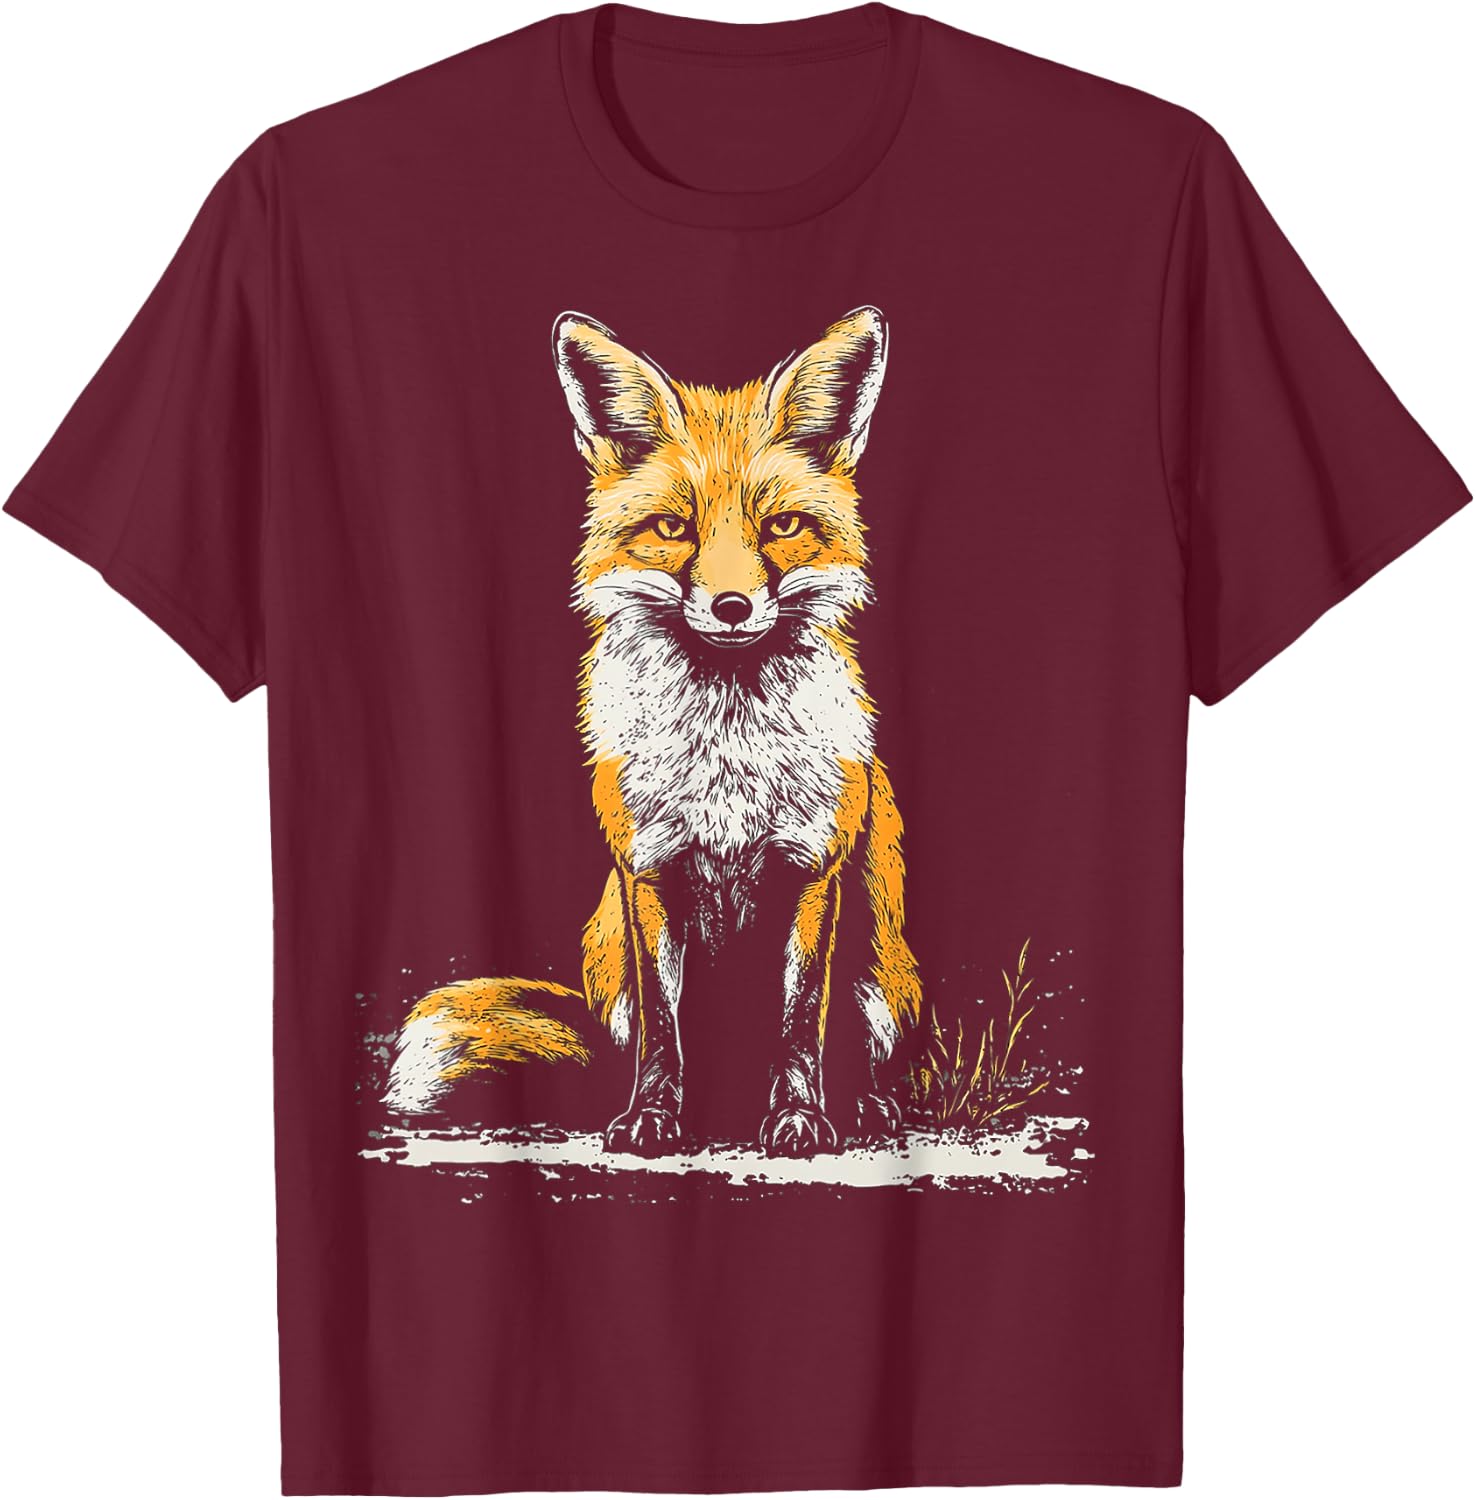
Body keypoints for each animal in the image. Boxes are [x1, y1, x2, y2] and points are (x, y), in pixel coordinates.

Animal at [383, 306, 922, 1157]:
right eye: (673, 527)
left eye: (782, 527)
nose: (732, 608)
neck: (727, 763)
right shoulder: (650, 873)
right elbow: (665, 1027)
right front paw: (653, 1118)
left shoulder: (812, 873)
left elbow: (801, 1020)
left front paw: (801, 1117)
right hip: (605, 949)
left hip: (887, 970)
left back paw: (866, 1105)